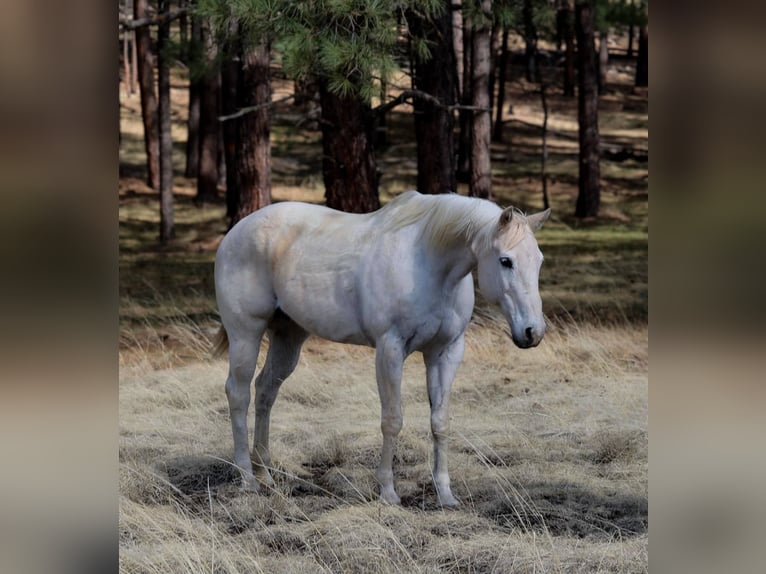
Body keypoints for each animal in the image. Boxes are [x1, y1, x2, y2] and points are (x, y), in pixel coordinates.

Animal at [213, 190, 550, 506]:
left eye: (539, 260)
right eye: (506, 261)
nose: (532, 332)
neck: (428, 263)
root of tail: (235, 232)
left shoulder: (445, 353)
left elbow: (440, 422)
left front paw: (445, 494)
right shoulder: (390, 349)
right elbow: (392, 420)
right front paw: (388, 492)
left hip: (288, 338)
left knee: (265, 391)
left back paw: (265, 474)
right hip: (246, 335)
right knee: (238, 394)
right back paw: (247, 479)